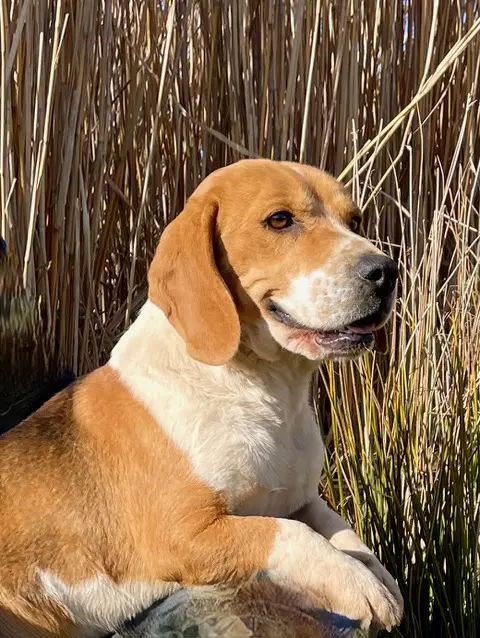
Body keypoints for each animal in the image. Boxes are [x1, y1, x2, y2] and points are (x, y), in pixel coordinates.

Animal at [0, 160, 403, 637]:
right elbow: (289, 534)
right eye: (280, 220)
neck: (266, 393)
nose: (386, 271)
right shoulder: (184, 536)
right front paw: (358, 585)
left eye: (355, 221)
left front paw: (377, 576)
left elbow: (342, 534)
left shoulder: (301, 499)